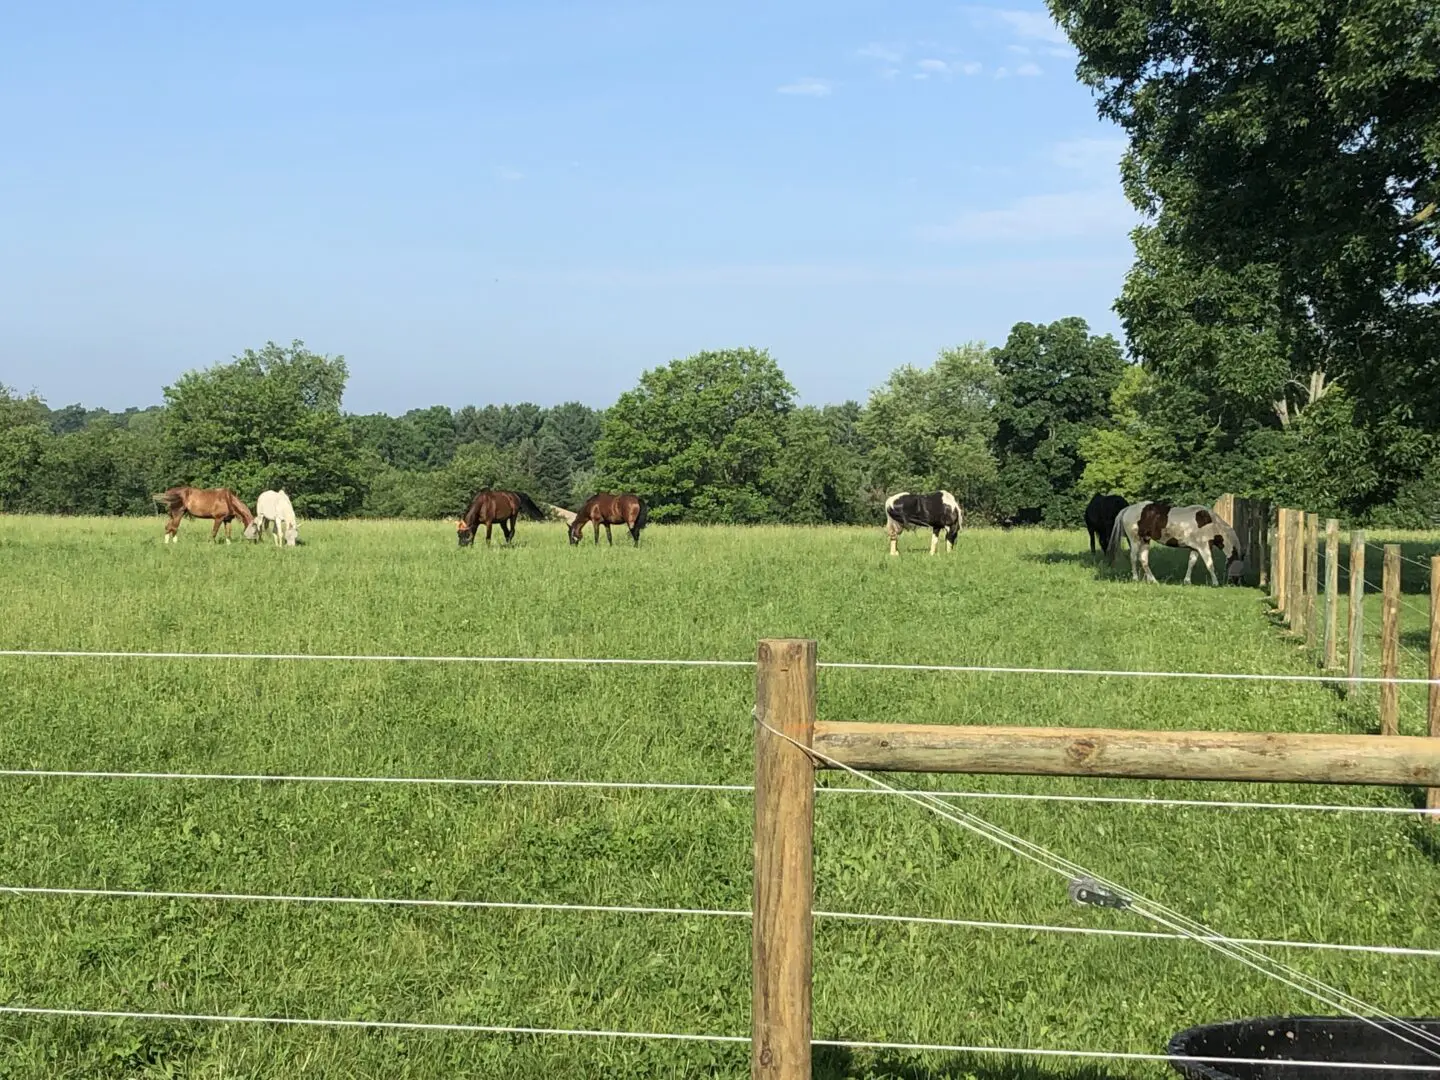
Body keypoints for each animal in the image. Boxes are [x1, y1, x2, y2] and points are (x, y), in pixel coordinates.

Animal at [1105, 504, 1244, 587]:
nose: (1237, 583)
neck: (1211, 524)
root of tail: (1127, 509)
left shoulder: (1195, 548)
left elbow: (1191, 563)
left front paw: (1187, 581)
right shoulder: (1204, 547)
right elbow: (1210, 565)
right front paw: (1215, 583)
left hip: (1145, 541)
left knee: (1143, 560)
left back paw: (1153, 580)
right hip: (1135, 540)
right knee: (1133, 558)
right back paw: (1135, 578)